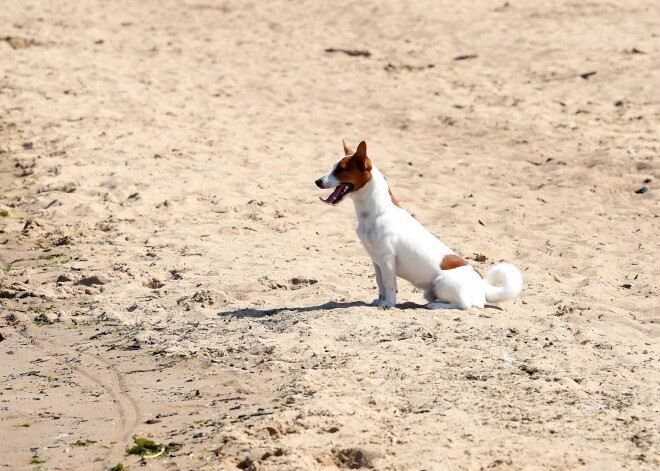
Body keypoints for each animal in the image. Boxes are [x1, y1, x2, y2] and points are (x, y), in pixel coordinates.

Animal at [314, 140, 520, 310]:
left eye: (340, 170)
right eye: (333, 167)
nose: (317, 181)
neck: (374, 212)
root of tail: (483, 286)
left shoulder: (387, 259)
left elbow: (390, 285)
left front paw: (388, 304)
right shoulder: (376, 260)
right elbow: (381, 284)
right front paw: (379, 300)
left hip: (441, 282)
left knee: (467, 305)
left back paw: (438, 306)